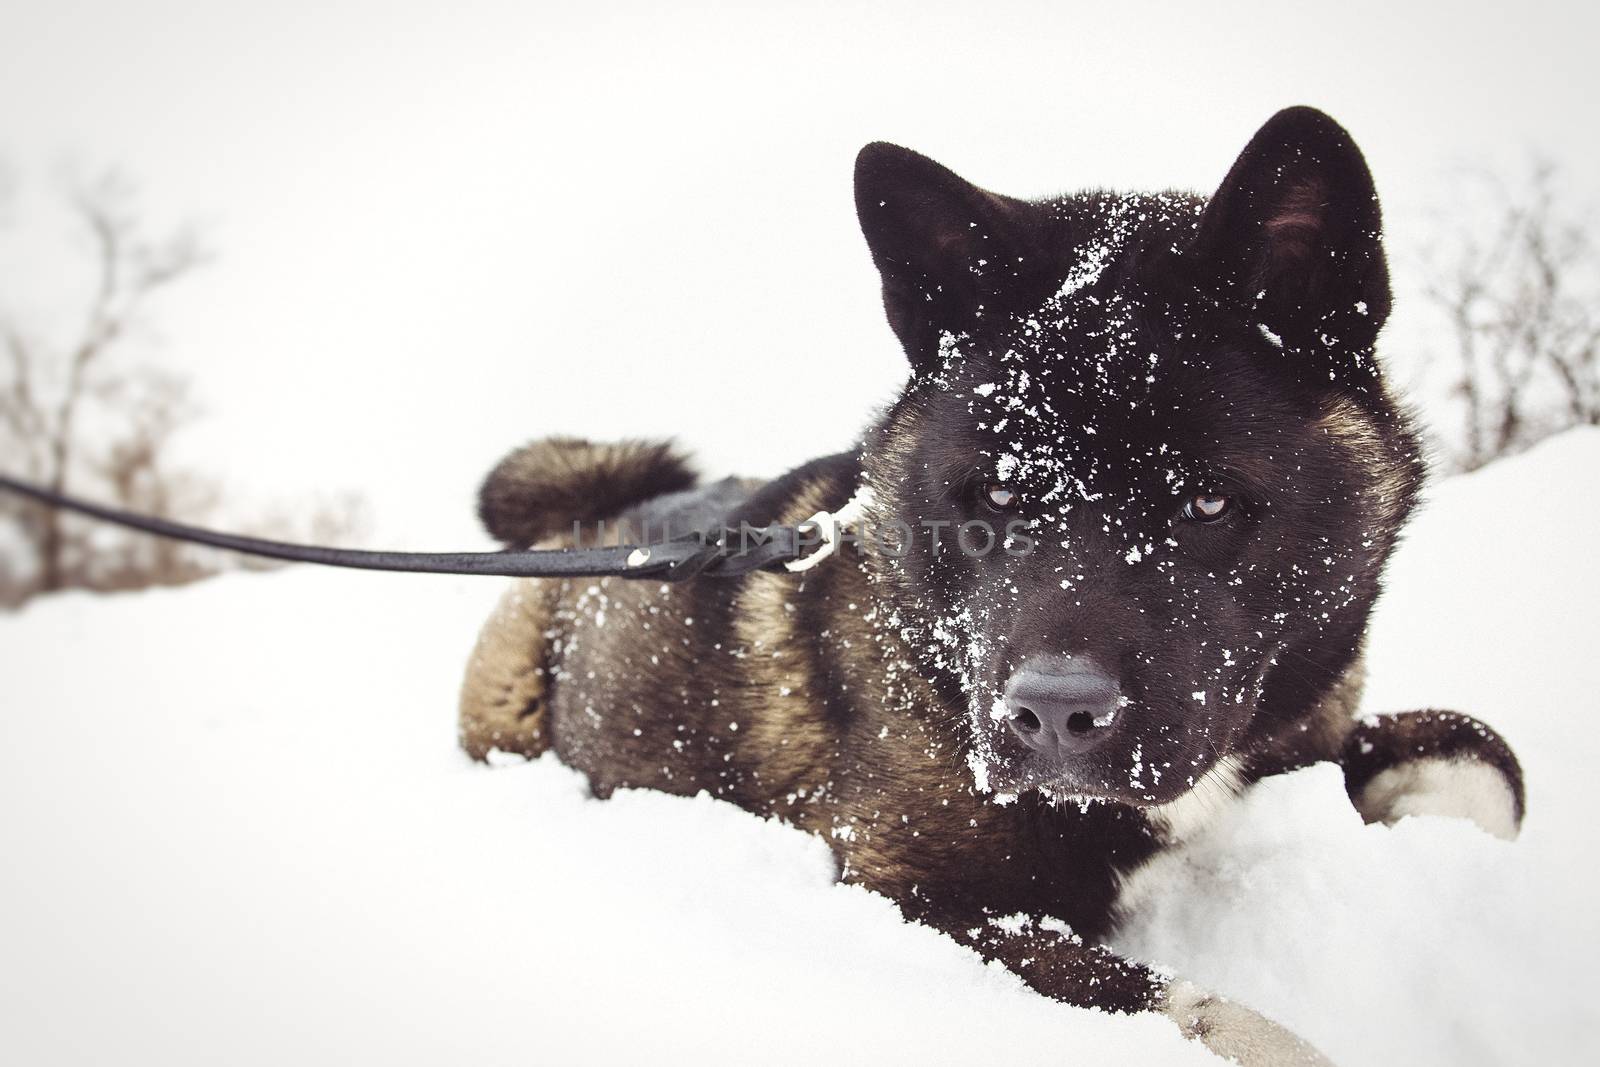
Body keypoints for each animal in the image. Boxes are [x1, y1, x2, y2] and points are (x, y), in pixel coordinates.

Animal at [460, 110, 1523, 1067]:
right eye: (1002, 492)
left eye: (1210, 498)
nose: (1052, 715)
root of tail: (597, 515)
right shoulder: (908, 892)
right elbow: (1198, 1010)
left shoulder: (1302, 724)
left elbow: (1480, 750)